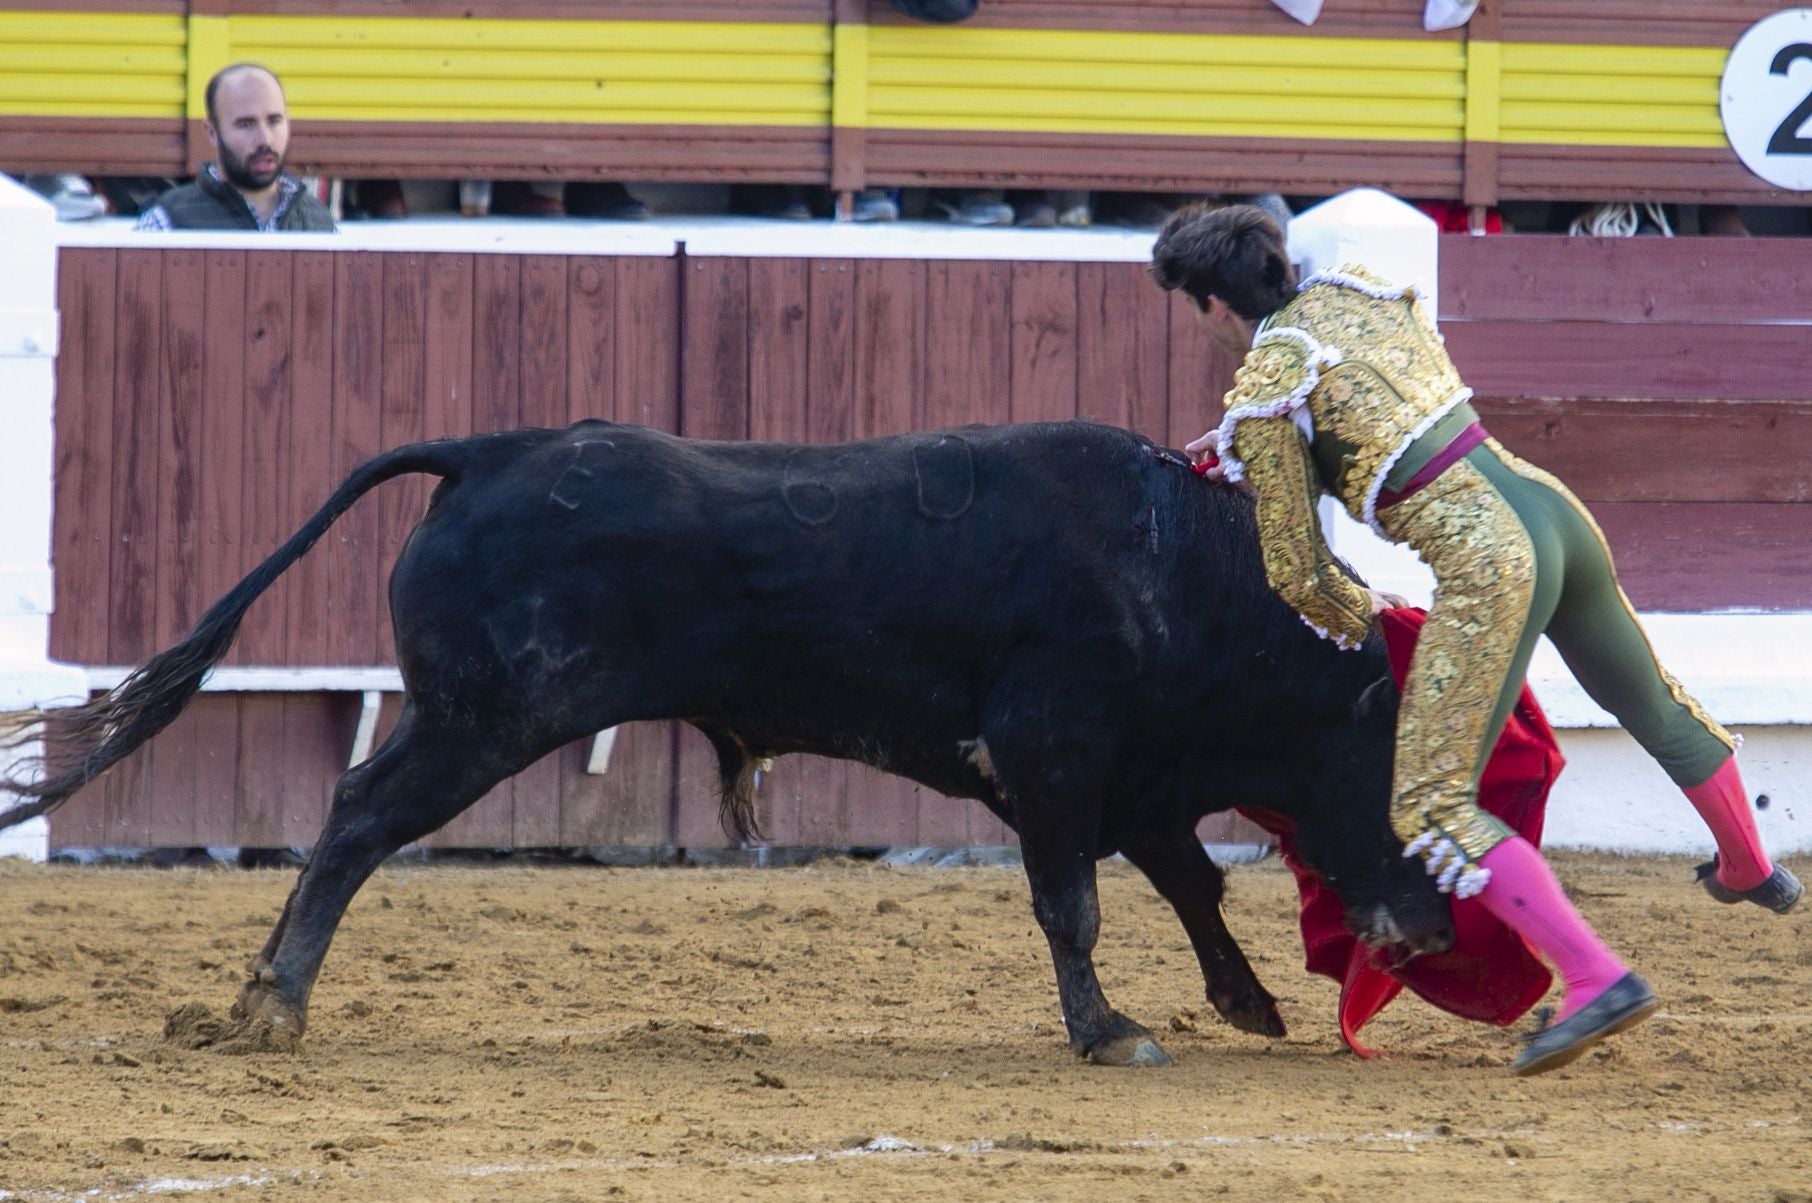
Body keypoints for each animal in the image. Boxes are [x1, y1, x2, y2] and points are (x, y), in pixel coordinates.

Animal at [0, 418, 1449, 1065]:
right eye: (1393, 773)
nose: (1434, 926)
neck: (1182, 575)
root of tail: (494, 447)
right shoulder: (1053, 755)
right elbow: (1076, 905)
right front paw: (1109, 1031)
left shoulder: (1131, 775)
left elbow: (1191, 882)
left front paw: (1244, 999)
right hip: (483, 720)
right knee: (355, 815)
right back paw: (273, 1003)